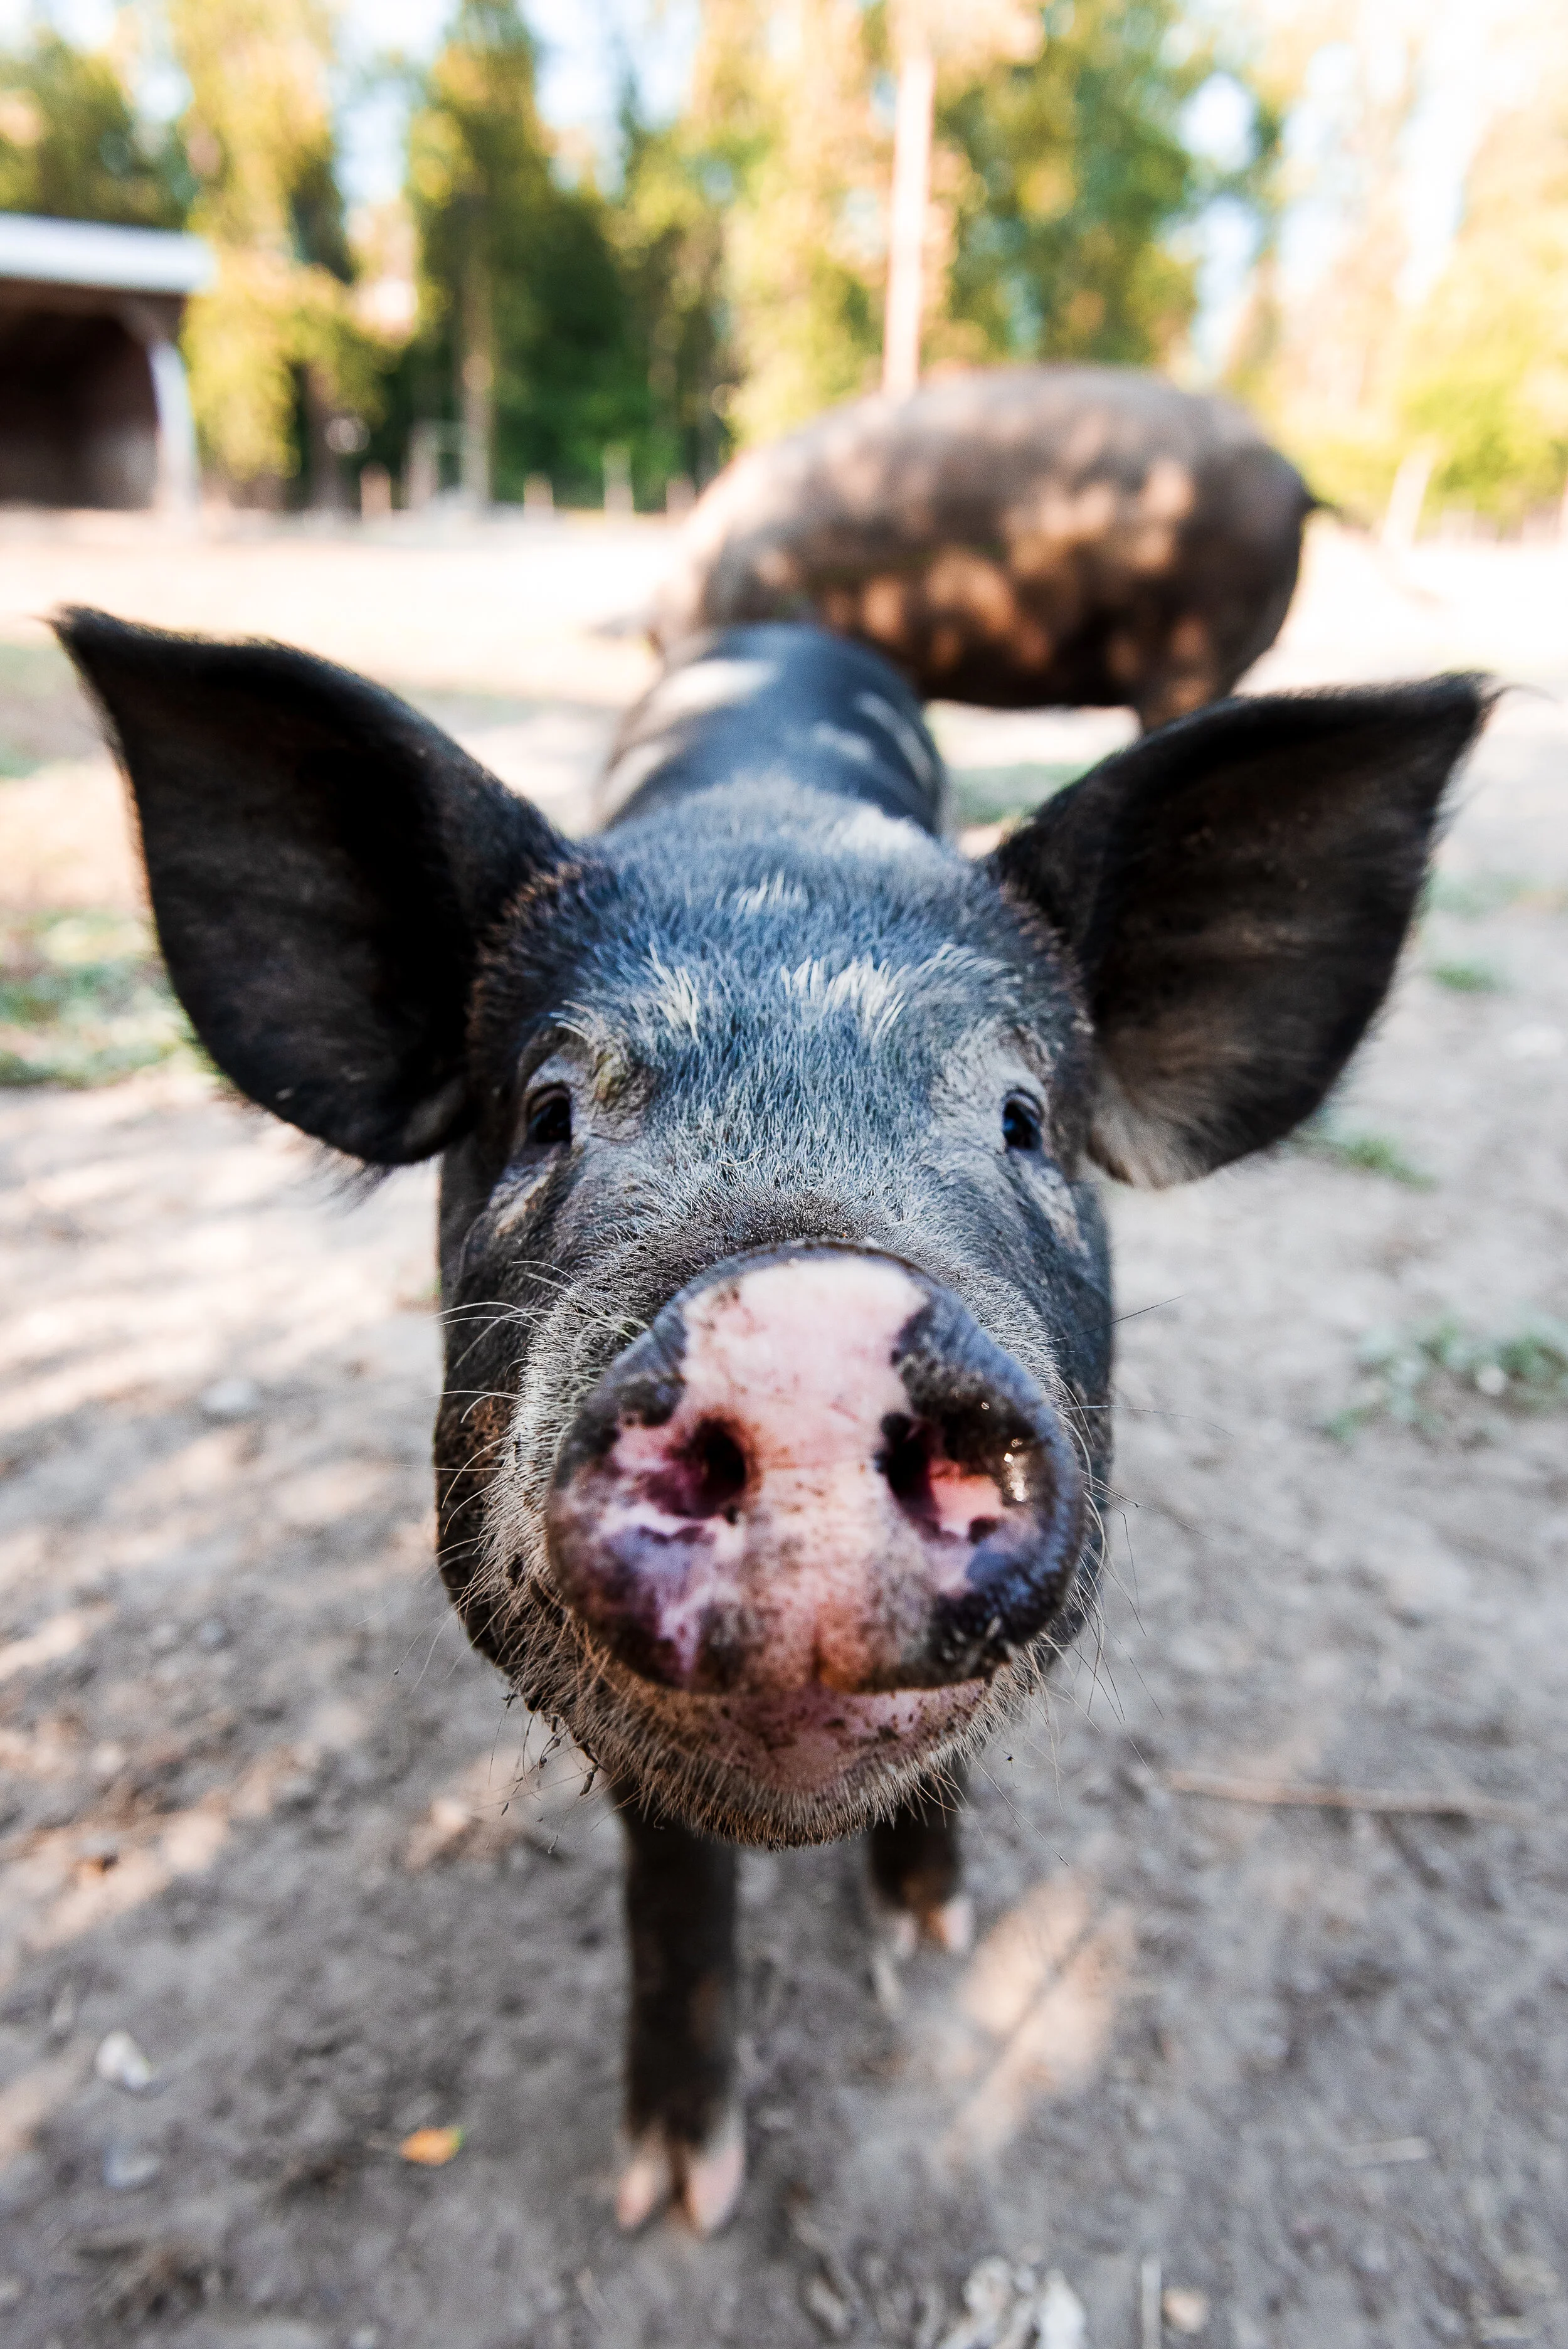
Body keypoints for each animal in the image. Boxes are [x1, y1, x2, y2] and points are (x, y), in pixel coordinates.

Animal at [57, 605, 1488, 2235]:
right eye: (545, 1110)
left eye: (1023, 1120)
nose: (808, 1322)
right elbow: (671, 1878)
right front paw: (674, 2196)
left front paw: (928, 1946)